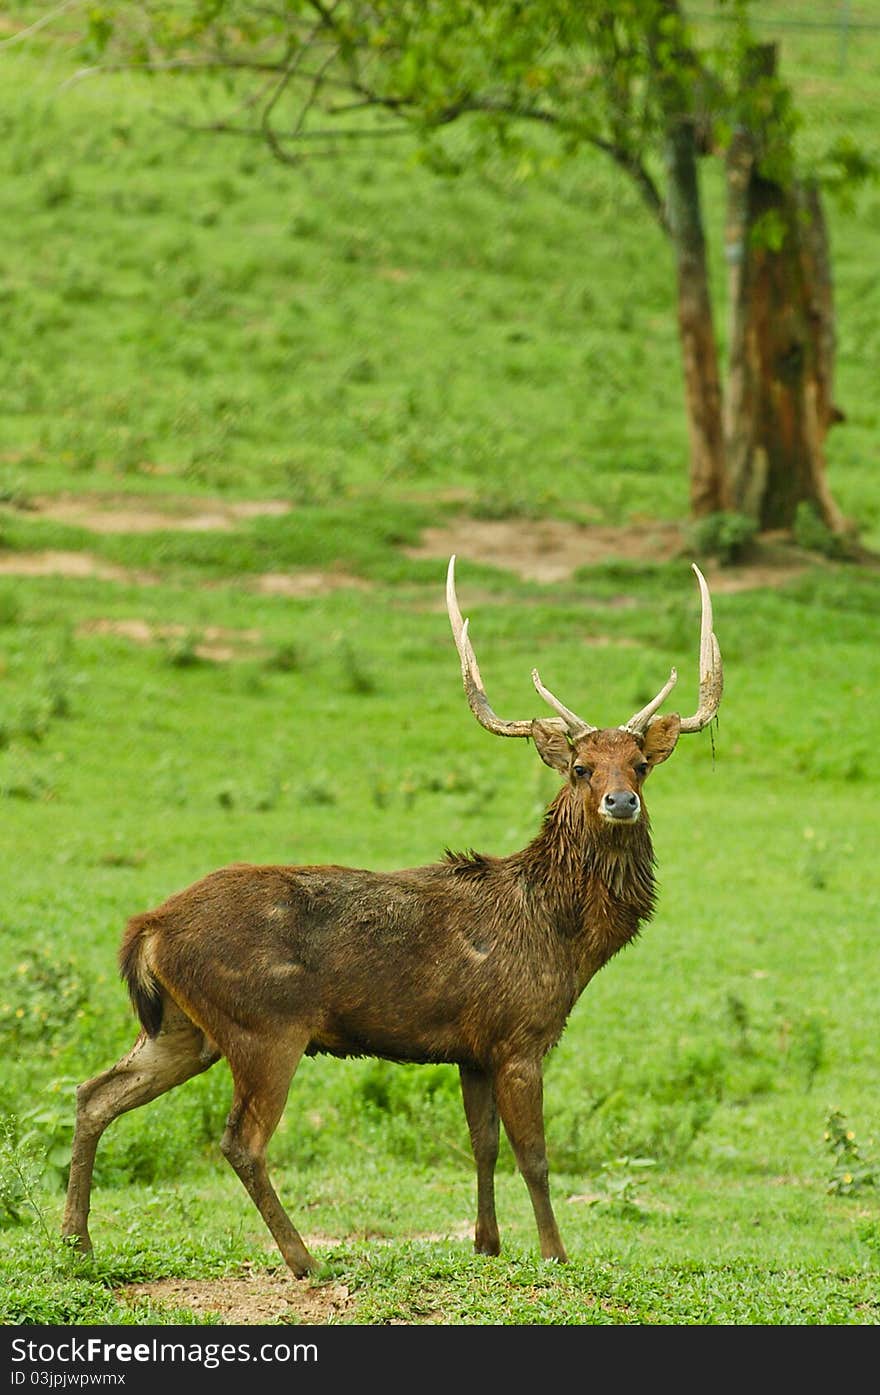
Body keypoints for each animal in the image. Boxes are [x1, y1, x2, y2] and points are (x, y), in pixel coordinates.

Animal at [60, 552, 725, 1277]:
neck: (564, 938)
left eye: (641, 765)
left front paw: (487, 1244)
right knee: (240, 1140)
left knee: (94, 1092)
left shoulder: (473, 1048)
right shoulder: (520, 1035)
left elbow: (482, 1144)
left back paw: (77, 1239)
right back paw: (302, 1258)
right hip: (264, 1024)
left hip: (182, 1026)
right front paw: (554, 1255)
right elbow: (536, 1157)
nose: (620, 801)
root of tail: (148, 928)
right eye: (579, 766)